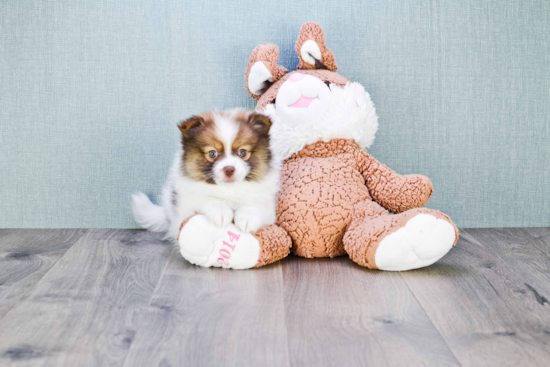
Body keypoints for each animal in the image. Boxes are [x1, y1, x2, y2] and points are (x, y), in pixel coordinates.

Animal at [132, 109, 280, 242]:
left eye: (243, 152)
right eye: (212, 153)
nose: (229, 169)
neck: (228, 189)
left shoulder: (268, 209)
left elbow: (253, 204)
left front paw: (248, 217)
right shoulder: (186, 206)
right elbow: (206, 199)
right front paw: (221, 211)